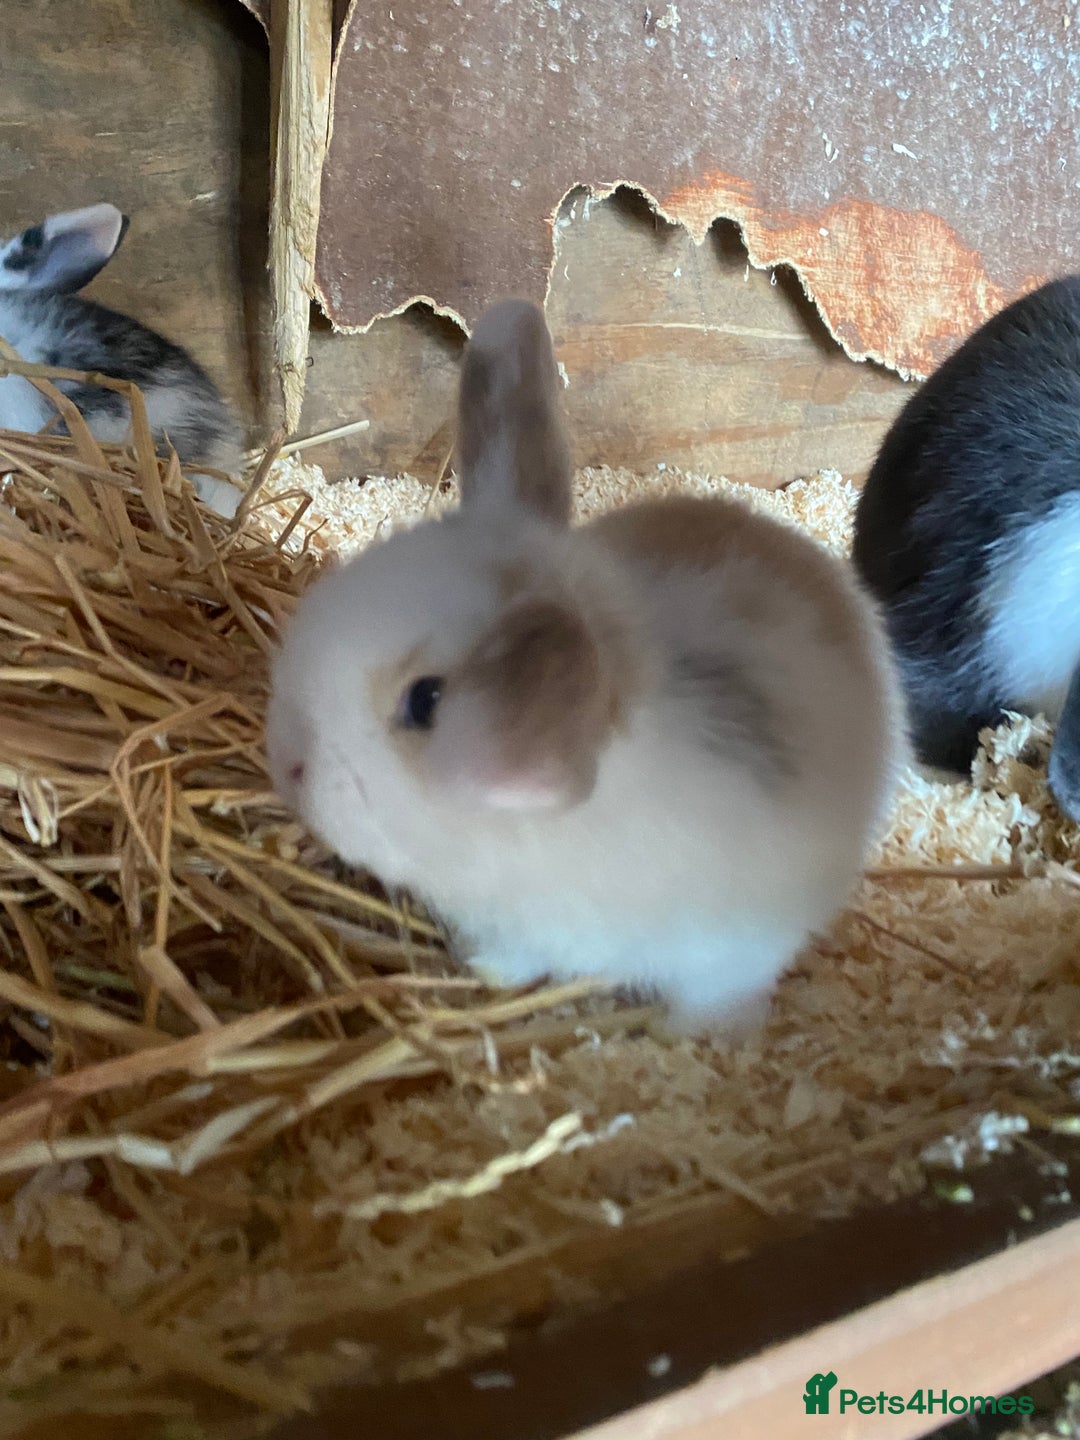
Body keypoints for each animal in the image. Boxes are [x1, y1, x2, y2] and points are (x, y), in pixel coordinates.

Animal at [266, 299, 903, 1032]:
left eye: (425, 702)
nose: (286, 762)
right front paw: (487, 973)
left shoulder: (734, 949)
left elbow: (720, 998)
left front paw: (702, 1040)